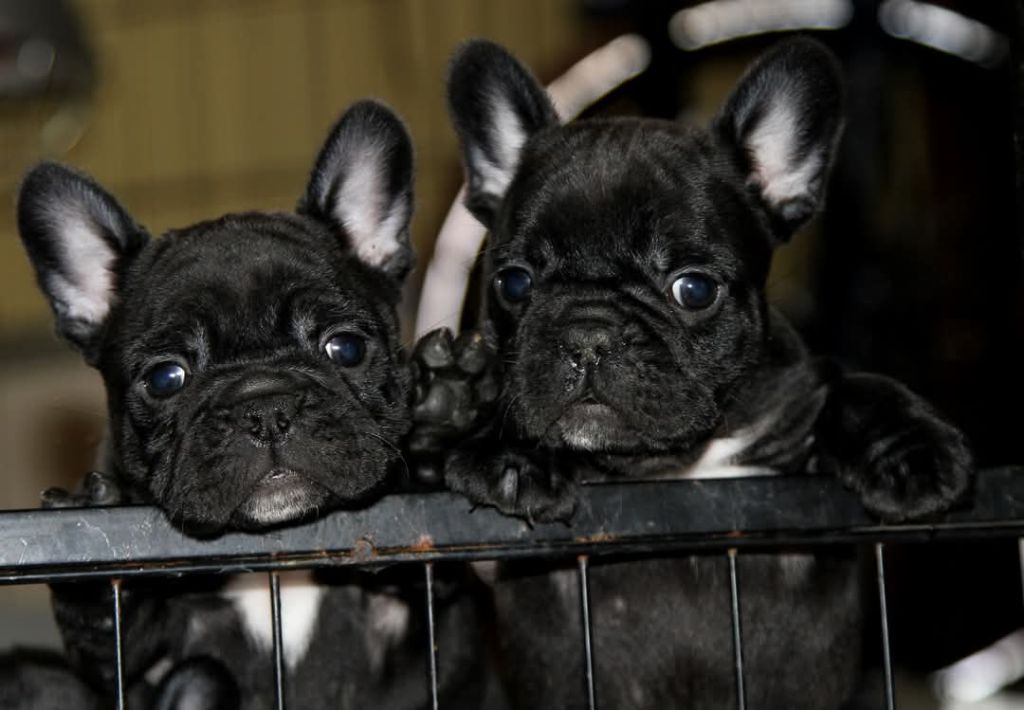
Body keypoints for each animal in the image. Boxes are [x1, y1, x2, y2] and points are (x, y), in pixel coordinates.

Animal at [17, 102, 487, 704]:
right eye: (166, 377)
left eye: (346, 347)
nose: (265, 408)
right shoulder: (123, 665)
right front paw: (94, 585)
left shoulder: (436, 613)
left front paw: (435, 425)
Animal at [421, 40, 966, 708]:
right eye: (514, 283)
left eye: (694, 288)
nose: (587, 335)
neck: (671, 471)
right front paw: (512, 453)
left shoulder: (798, 402)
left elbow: (855, 386)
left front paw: (910, 451)